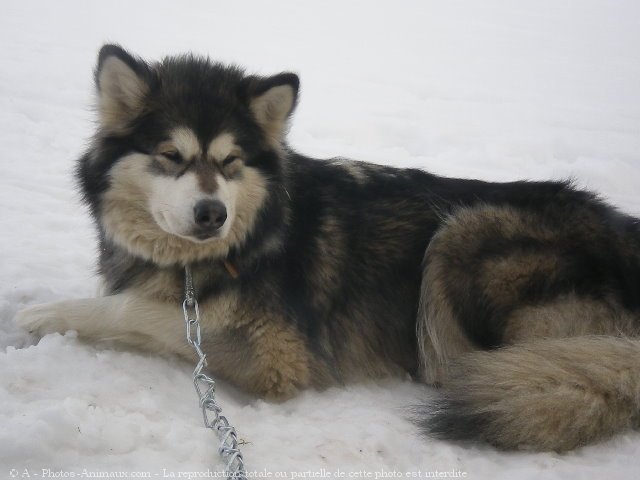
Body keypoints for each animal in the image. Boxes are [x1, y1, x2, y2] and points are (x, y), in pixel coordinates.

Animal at [13, 43, 640, 452]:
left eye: (230, 162)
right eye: (172, 156)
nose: (213, 214)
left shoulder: (278, 355)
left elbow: (135, 310)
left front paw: (41, 313)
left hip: (462, 233)